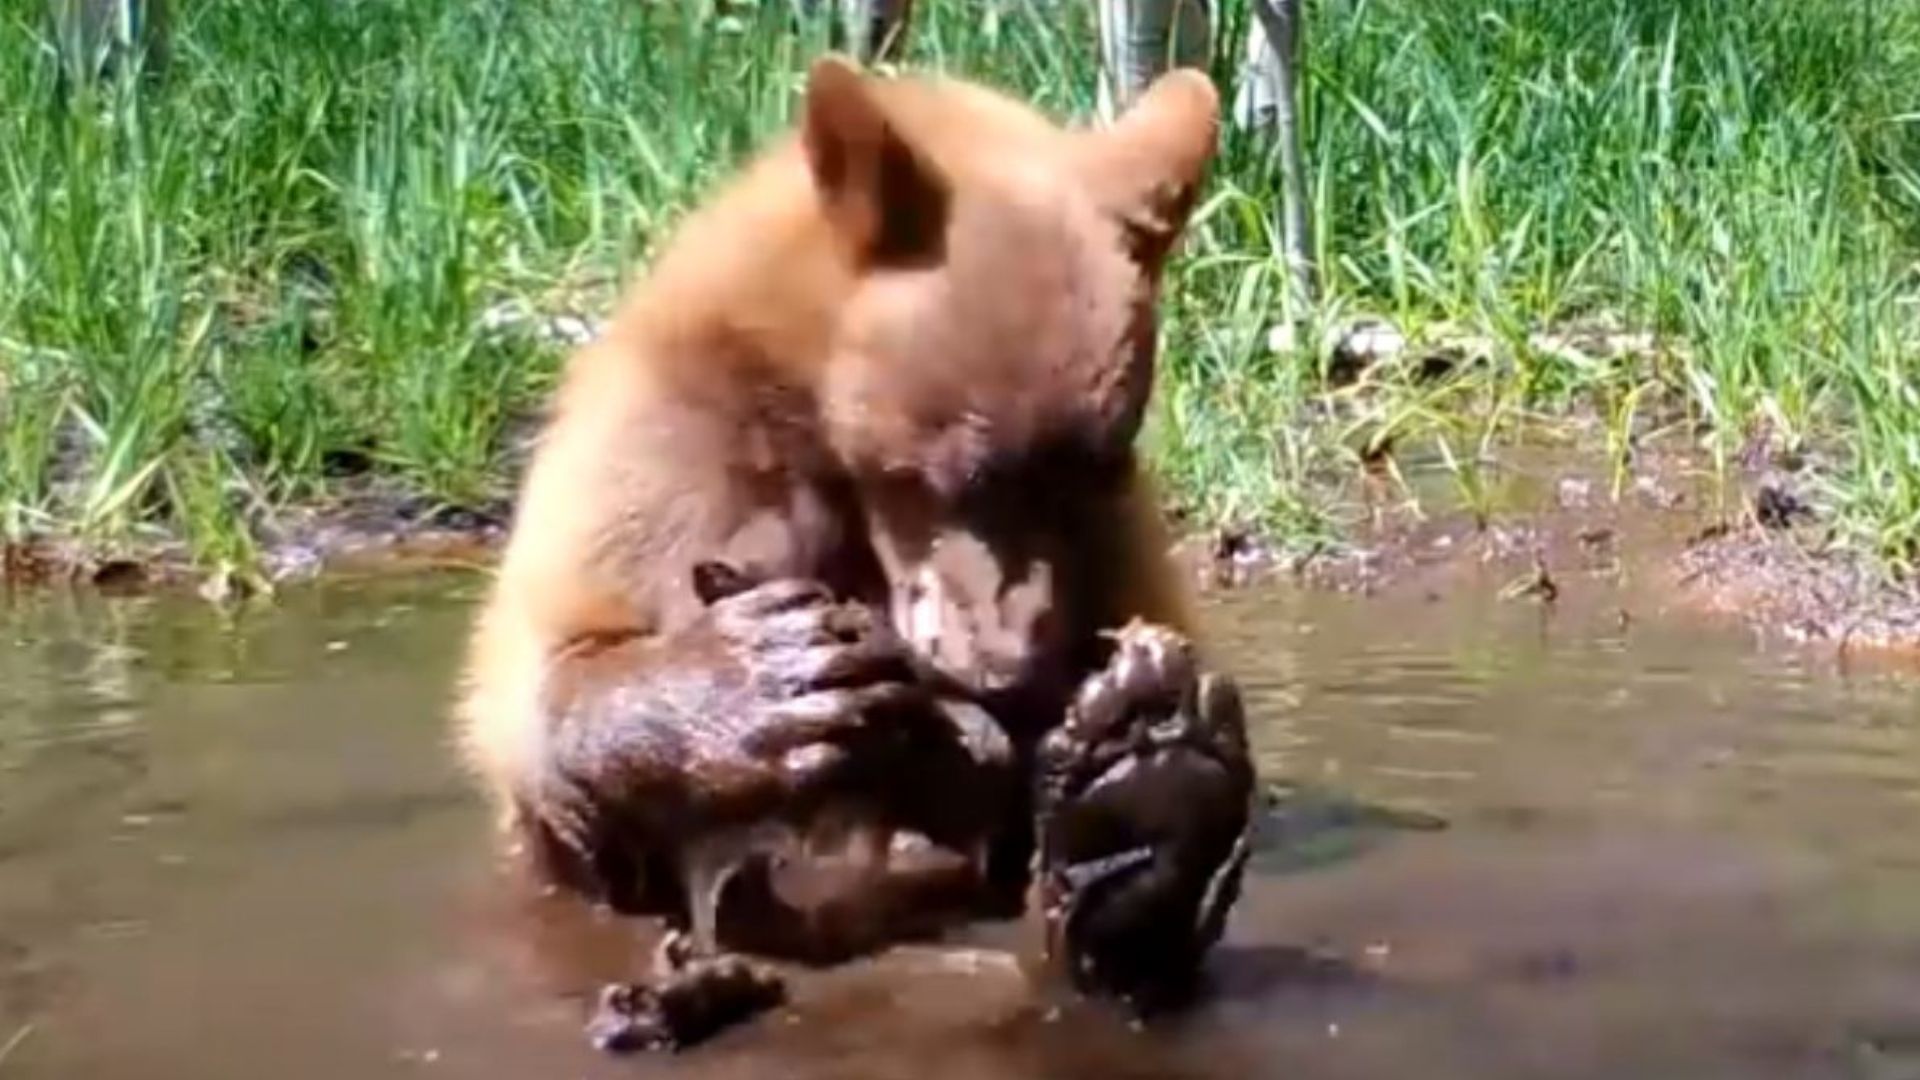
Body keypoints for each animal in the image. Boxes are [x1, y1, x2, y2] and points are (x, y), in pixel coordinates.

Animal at [454, 53, 1255, 1010]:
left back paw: (1135, 815)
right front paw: (769, 671)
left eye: (1090, 473)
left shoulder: (1113, 537)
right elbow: (550, 672)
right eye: (961, 473)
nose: (1013, 669)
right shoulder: (674, 446)